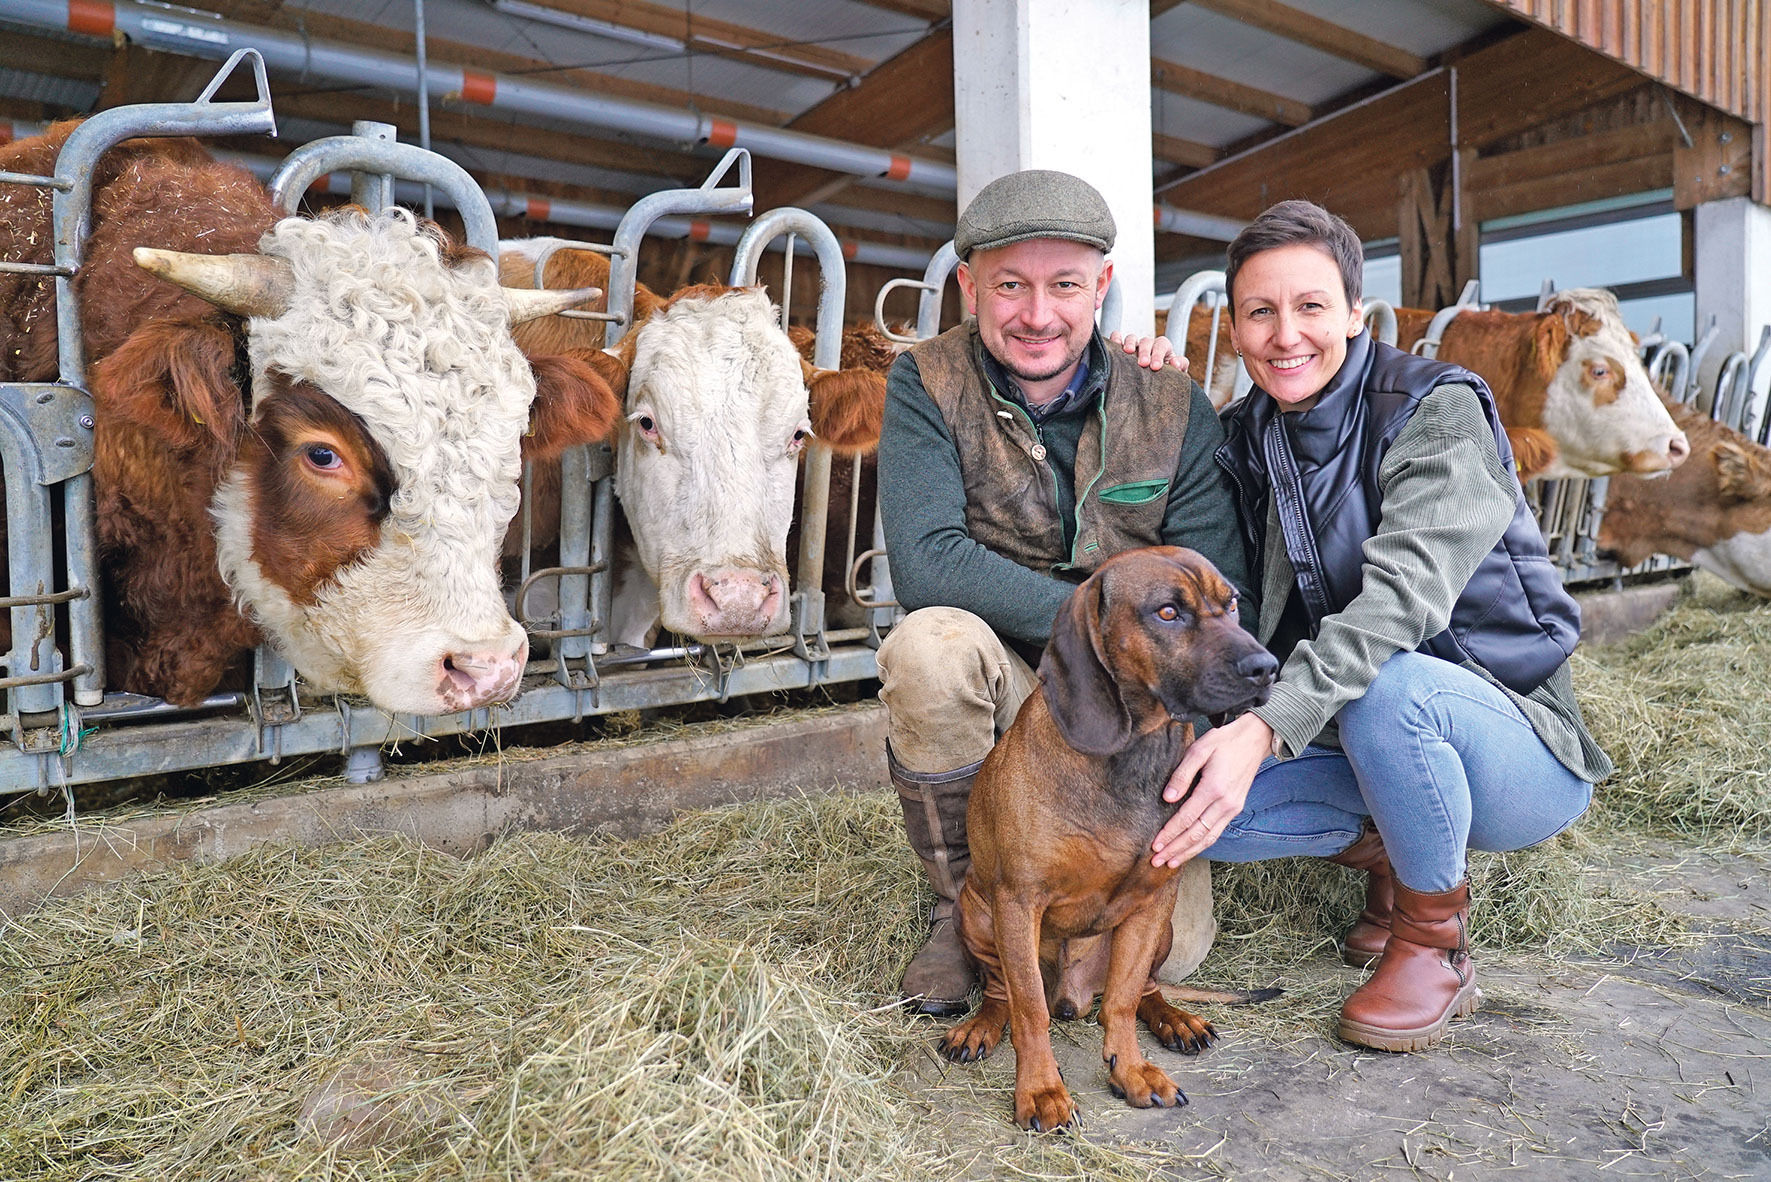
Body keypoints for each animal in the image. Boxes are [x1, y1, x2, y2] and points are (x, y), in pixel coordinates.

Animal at [949, 549, 1282, 1134]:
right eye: (1168, 612)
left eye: (1233, 603)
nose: (1268, 666)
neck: (1132, 755)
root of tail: (1074, 997)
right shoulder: (1018, 901)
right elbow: (1028, 1009)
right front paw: (1041, 1090)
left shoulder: (1151, 900)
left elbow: (1123, 1002)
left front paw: (1130, 1070)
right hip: (975, 910)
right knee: (1000, 991)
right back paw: (981, 1024)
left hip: (1163, 928)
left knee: (1145, 987)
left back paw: (1175, 1019)